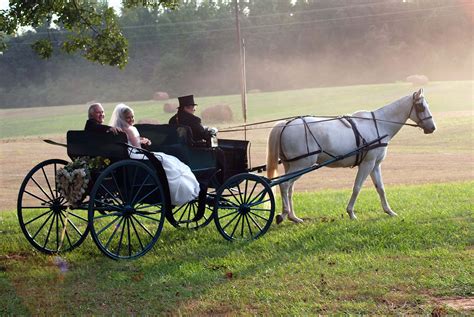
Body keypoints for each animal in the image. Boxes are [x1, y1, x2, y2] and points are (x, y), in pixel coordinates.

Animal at [266, 89, 436, 222]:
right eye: (421, 106)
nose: (432, 128)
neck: (378, 125)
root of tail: (285, 124)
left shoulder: (375, 164)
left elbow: (380, 188)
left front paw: (389, 211)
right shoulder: (367, 163)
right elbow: (357, 187)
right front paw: (351, 213)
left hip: (293, 165)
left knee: (289, 189)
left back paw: (293, 217)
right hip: (302, 164)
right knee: (284, 185)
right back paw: (284, 214)